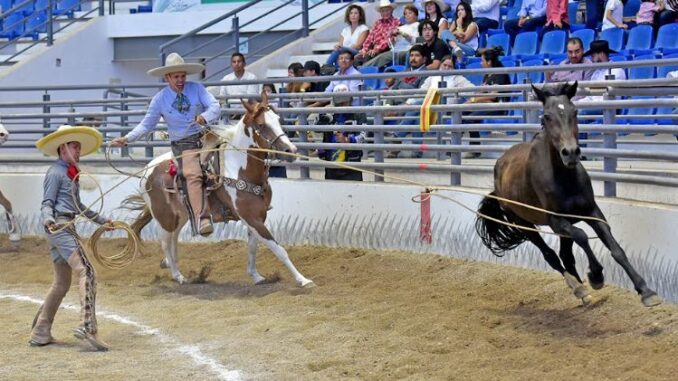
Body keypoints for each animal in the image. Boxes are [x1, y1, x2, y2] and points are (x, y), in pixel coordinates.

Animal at [476, 81, 660, 308]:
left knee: (566, 255)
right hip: (523, 223)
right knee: (551, 256)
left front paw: (646, 291)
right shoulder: (557, 221)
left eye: (575, 111)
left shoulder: (592, 212)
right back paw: (579, 288)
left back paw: (585, 293)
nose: (571, 152)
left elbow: (616, 249)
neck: (564, 179)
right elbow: (582, 237)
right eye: (546, 116)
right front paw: (596, 276)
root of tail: (499, 168)